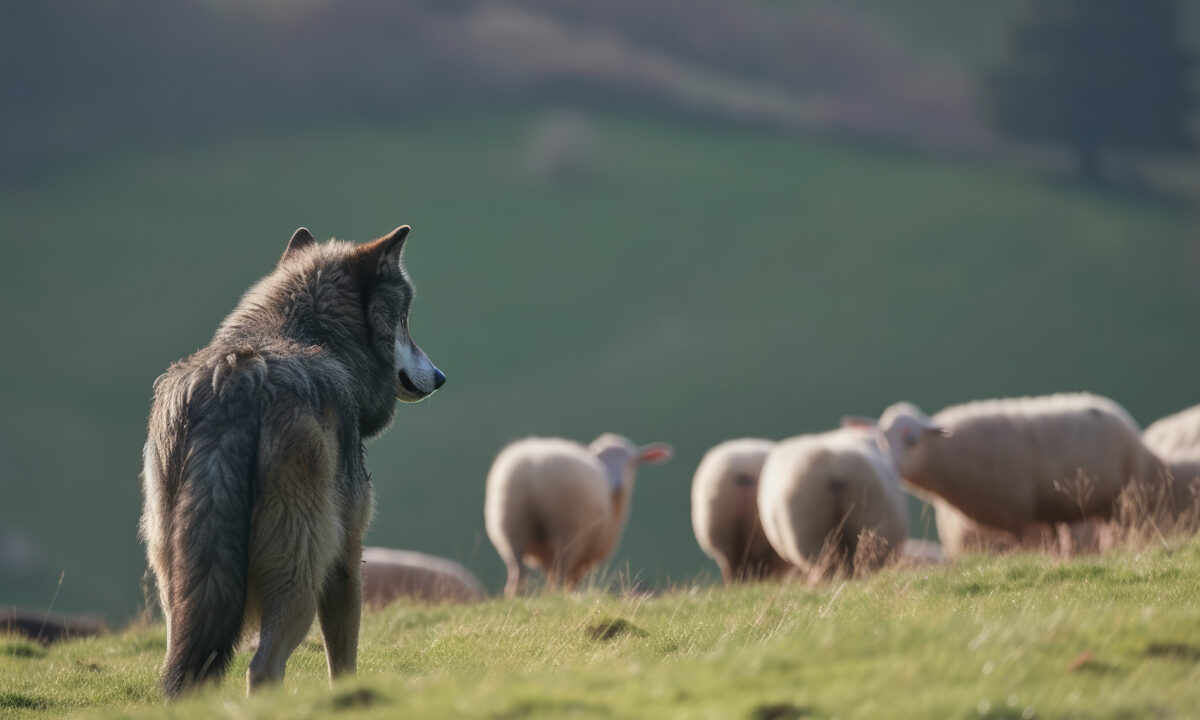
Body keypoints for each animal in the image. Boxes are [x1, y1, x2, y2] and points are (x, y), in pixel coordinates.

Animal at [140, 226, 445, 697]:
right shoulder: (345, 559)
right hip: (299, 578)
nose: (441, 377)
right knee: (262, 668)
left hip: (178, 587)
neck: (306, 337)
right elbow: (343, 661)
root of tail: (235, 381)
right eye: (404, 321)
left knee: (187, 673)